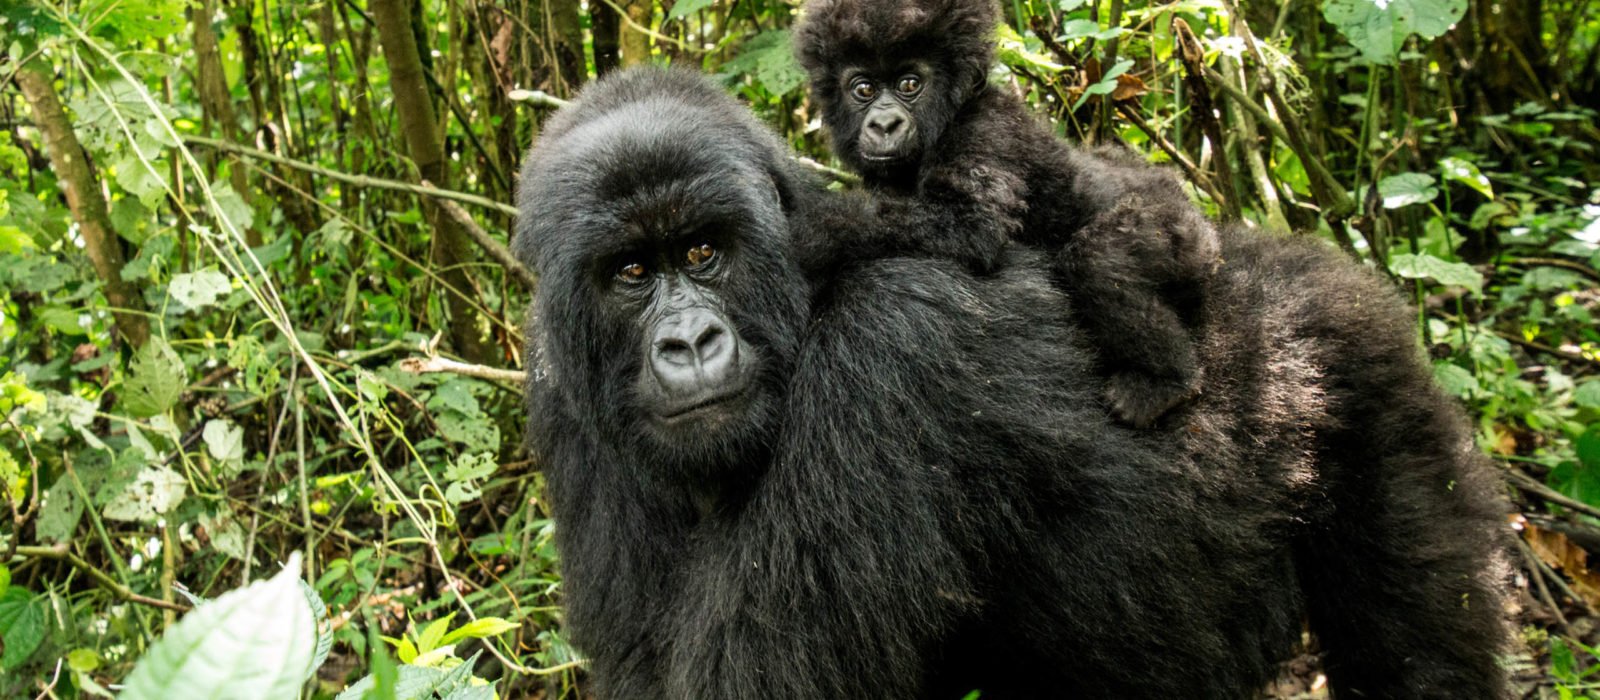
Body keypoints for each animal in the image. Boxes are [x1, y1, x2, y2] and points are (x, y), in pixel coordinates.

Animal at [515, 69, 1510, 700]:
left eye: (703, 253)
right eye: (630, 274)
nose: (689, 341)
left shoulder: (891, 357)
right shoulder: (562, 398)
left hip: (1370, 385)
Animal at [793, 0, 1216, 425]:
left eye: (910, 84)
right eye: (863, 89)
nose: (884, 124)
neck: (954, 112)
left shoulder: (986, 129)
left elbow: (970, 223)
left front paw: (810, 224)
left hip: (1183, 232)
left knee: (1099, 260)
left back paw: (1166, 382)